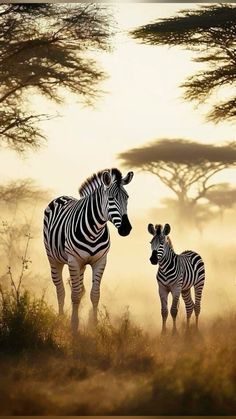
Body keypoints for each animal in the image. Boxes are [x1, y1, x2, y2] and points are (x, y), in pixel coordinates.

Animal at [43, 168, 134, 334]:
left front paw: (94, 325)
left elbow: (94, 294)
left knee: (79, 288)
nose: (126, 229)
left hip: (81, 265)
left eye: (127, 198)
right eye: (111, 199)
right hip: (54, 259)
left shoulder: (100, 260)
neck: (95, 230)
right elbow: (75, 295)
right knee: (60, 289)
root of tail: (62, 197)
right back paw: (60, 319)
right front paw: (74, 325)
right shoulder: (73, 260)